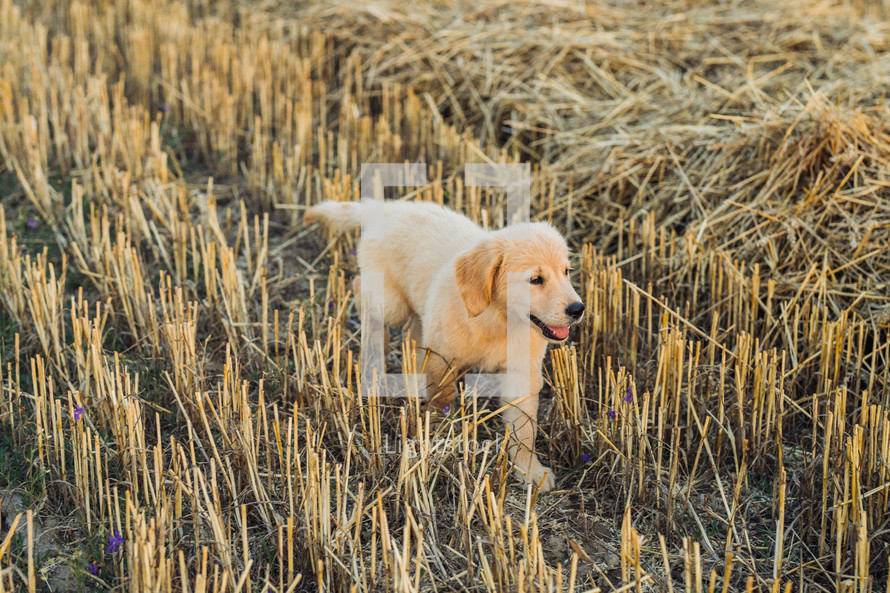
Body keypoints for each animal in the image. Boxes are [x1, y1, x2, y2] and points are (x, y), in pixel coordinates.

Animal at [306, 199, 584, 490]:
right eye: (536, 279)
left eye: (566, 272)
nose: (578, 309)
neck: (497, 318)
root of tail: (389, 207)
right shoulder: (442, 356)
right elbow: (442, 397)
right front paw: (437, 433)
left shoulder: (522, 370)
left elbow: (525, 425)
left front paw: (530, 470)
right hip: (391, 302)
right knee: (362, 289)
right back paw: (375, 346)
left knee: (414, 331)